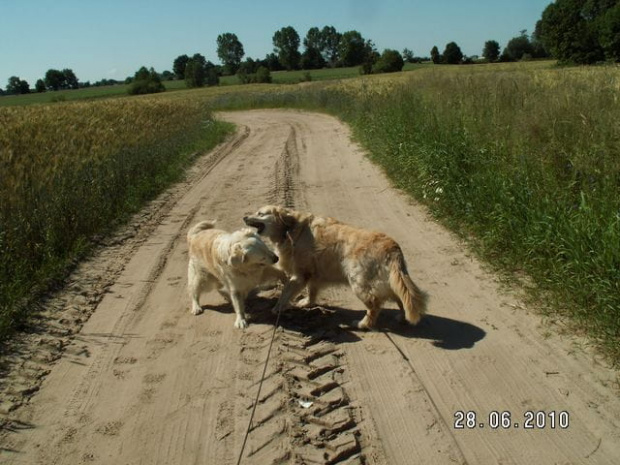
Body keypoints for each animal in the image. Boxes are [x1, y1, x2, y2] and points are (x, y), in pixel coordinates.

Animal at [242, 205, 426, 328]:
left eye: (260, 213)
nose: (244, 217)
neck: (290, 229)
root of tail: (393, 248)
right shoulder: (313, 274)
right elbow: (312, 291)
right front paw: (307, 303)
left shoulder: (300, 273)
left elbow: (286, 293)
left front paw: (277, 308)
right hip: (390, 282)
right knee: (400, 298)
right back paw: (401, 317)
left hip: (359, 283)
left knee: (374, 306)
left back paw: (363, 324)